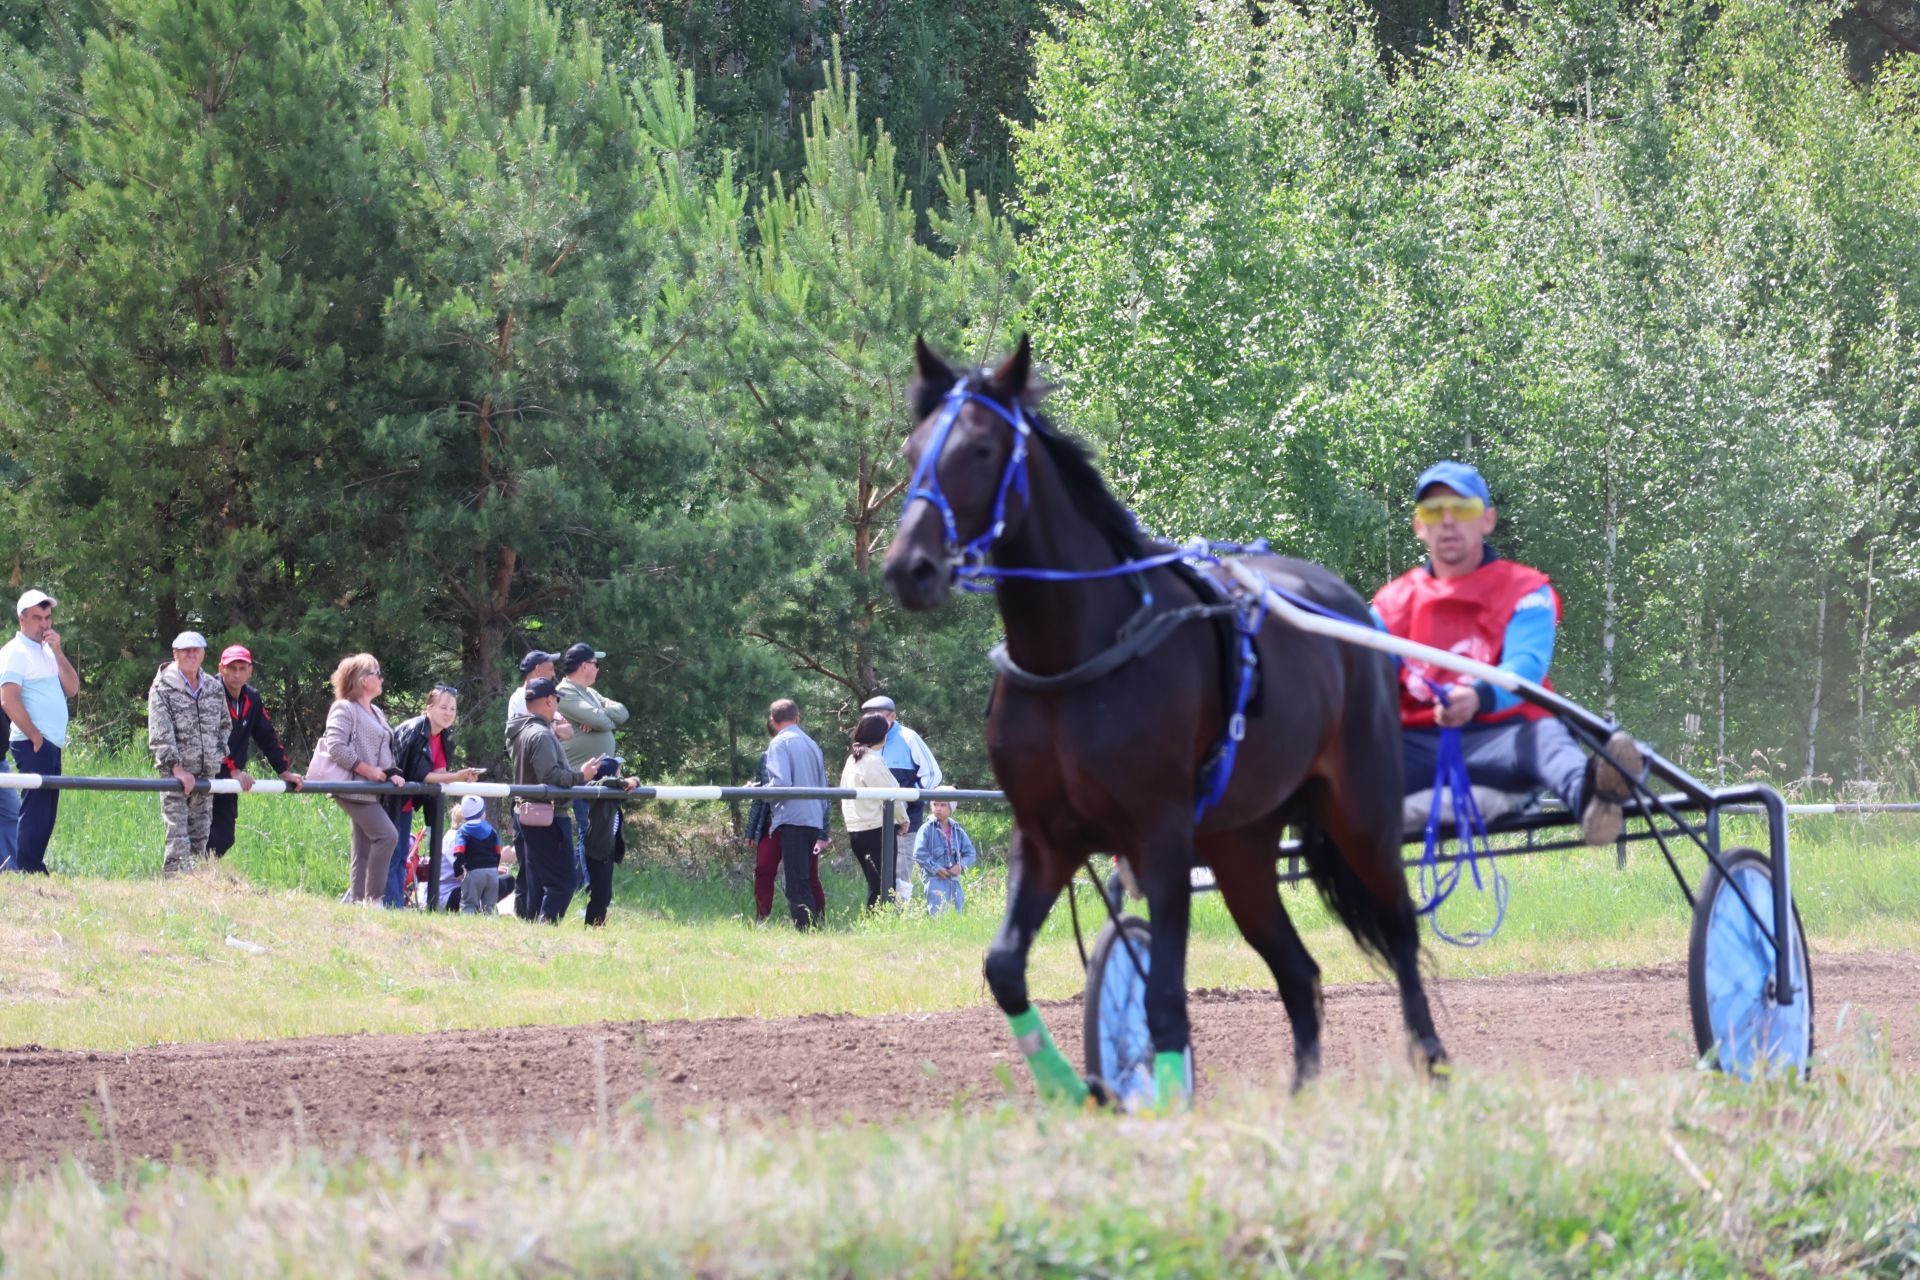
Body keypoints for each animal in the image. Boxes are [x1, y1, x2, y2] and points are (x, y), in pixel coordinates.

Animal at [879, 335, 1443, 1105]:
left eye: (982, 448)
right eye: (913, 450)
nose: (911, 568)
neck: (1077, 654)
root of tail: (1348, 604)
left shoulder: (1161, 836)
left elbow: (1163, 998)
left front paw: (1161, 1090)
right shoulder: (1046, 836)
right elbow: (1005, 969)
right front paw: (1076, 1086)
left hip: (1360, 814)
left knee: (1400, 932)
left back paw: (1432, 1063)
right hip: (1240, 849)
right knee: (1298, 972)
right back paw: (1300, 1097)